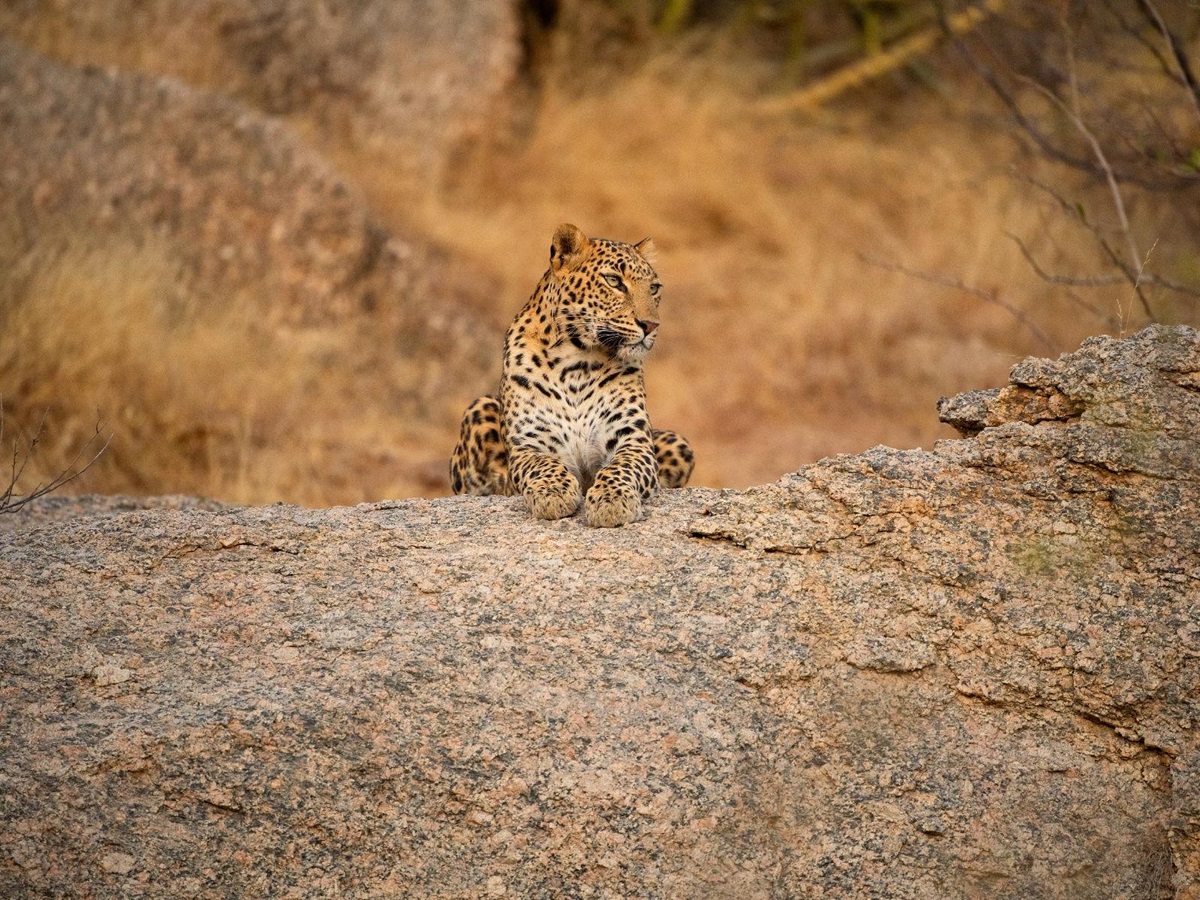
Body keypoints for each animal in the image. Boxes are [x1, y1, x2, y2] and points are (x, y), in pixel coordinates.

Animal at [450, 223, 694, 527]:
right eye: (614, 281)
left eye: (654, 288)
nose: (651, 325)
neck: (577, 362)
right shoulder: (529, 444)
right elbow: (543, 465)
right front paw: (552, 493)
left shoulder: (633, 440)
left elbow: (621, 468)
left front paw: (612, 500)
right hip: (479, 408)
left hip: (678, 443)